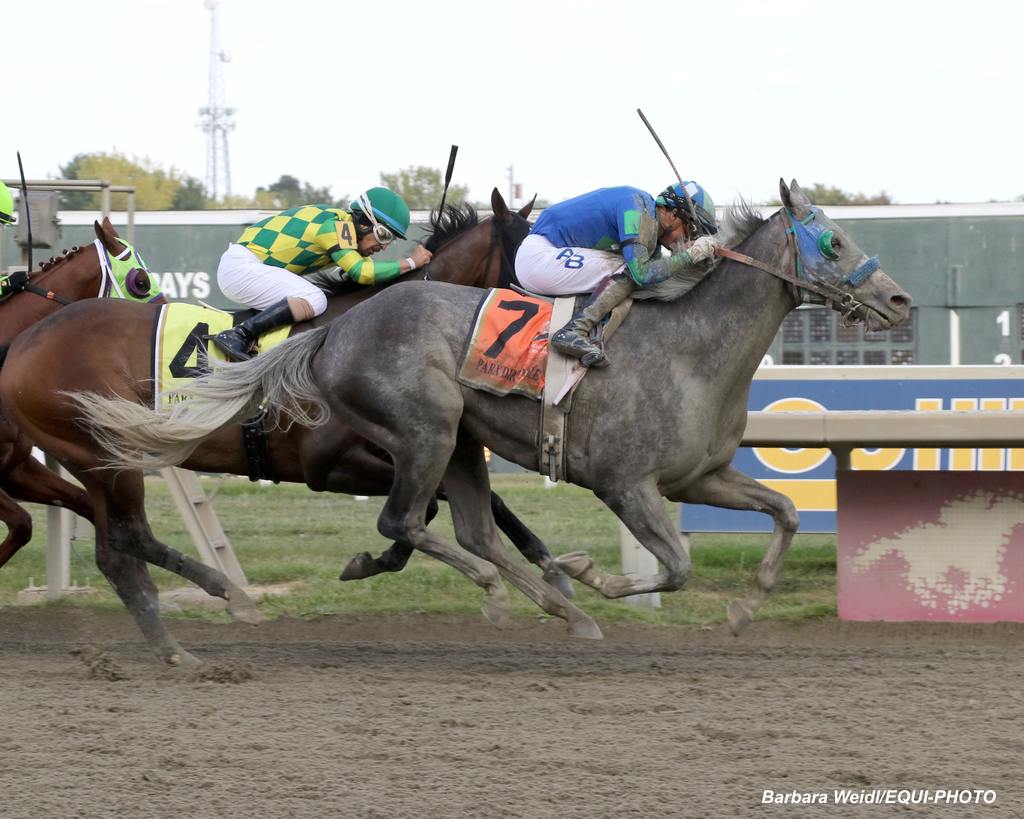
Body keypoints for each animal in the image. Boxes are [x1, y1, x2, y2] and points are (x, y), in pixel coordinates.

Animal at [77, 181, 913, 638]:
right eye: (833, 243)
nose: (901, 299)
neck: (693, 347)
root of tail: (335, 327)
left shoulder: (698, 477)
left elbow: (786, 512)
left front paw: (745, 607)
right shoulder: (628, 485)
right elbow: (673, 566)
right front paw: (594, 575)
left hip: (457, 444)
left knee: (472, 530)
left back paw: (556, 604)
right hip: (424, 431)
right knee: (407, 522)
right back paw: (527, 593)